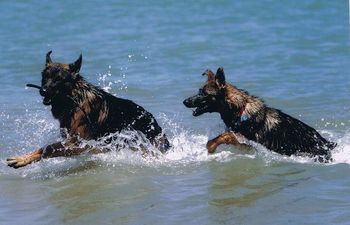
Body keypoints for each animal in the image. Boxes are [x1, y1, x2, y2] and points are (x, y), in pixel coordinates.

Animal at [6, 50, 168, 167]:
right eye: (45, 76)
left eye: (59, 79)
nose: (43, 91)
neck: (74, 100)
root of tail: (155, 124)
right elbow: (46, 148)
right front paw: (24, 158)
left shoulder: (79, 144)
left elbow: (48, 148)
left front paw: (23, 159)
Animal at [183, 67, 336, 162]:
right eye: (199, 91)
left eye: (204, 93)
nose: (184, 101)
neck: (240, 110)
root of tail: (326, 143)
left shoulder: (245, 139)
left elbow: (224, 136)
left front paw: (211, 146)